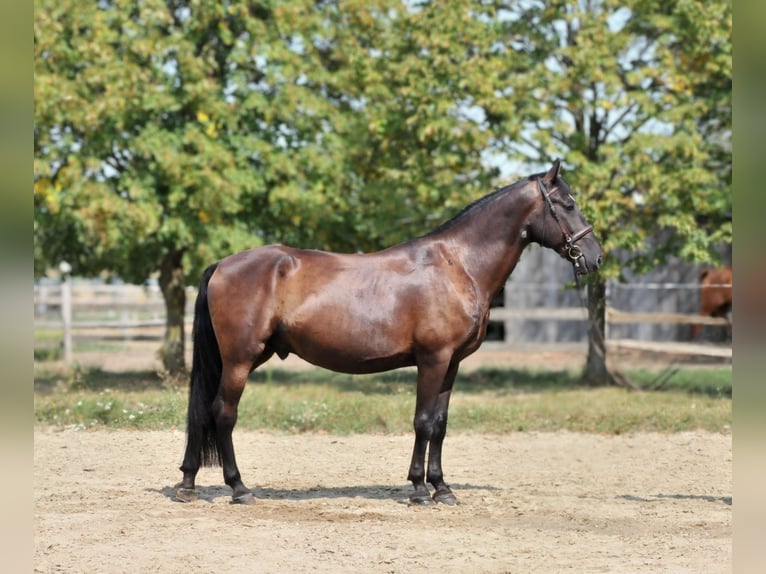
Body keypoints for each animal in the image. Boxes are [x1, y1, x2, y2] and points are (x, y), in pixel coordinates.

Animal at [176, 160, 608, 506]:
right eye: (568, 204)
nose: (596, 256)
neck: (458, 264)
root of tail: (222, 265)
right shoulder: (433, 359)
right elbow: (423, 421)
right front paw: (419, 489)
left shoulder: (451, 363)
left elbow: (441, 424)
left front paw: (442, 488)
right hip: (240, 359)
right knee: (222, 413)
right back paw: (239, 489)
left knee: (204, 413)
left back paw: (188, 484)